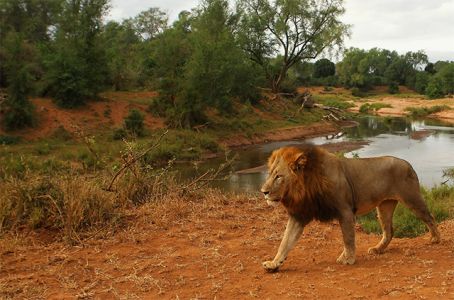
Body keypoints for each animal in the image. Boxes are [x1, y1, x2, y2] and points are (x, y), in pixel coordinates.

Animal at [260, 145, 442, 272]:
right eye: (269, 174)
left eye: (278, 177)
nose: (263, 192)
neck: (305, 188)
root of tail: (407, 163)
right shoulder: (299, 215)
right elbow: (285, 242)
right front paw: (274, 264)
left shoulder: (345, 211)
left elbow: (348, 238)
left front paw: (348, 259)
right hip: (384, 206)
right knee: (389, 230)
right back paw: (378, 249)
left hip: (411, 199)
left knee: (430, 217)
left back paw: (436, 239)